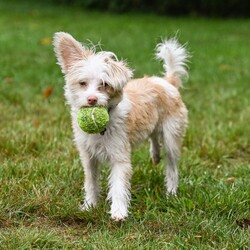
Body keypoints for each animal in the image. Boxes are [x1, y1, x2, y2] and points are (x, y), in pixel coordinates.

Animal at [53, 31, 188, 221]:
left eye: (104, 85)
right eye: (82, 83)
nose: (92, 99)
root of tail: (166, 81)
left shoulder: (120, 156)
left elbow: (118, 186)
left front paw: (118, 212)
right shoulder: (88, 157)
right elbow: (91, 181)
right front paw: (89, 206)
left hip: (172, 136)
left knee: (172, 166)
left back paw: (171, 193)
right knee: (154, 136)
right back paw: (155, 155)